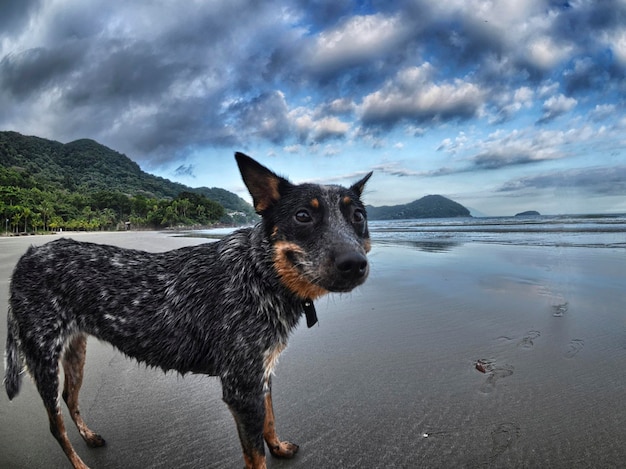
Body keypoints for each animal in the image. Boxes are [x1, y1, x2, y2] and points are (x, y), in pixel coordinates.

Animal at [2, 154, 370, 468]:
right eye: (303, 216)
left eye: (359, 217)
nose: (355, 264)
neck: (260, 274)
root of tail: (27, 256)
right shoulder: (241, 387)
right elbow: (256, 454)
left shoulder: (260, 373)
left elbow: (270, 419)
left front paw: (278, 446)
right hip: (43, 358)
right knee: (56, 426)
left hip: (75, 350)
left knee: (70, 397)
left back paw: (89, 436)